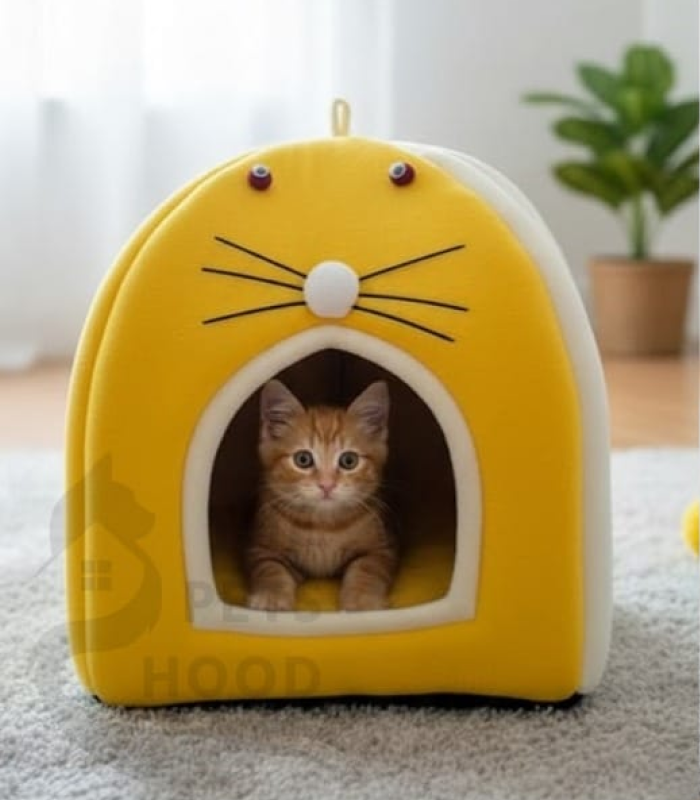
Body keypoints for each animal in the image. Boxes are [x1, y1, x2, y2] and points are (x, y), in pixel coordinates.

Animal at [246, 379, 398, 612]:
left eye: (349, 461)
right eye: (303, 459)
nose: (327, 485)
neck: (323, 526)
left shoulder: (383, 548)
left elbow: (367, 568)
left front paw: (362, 600)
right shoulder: (260, 549)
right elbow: (270, 569)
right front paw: (271, 596)